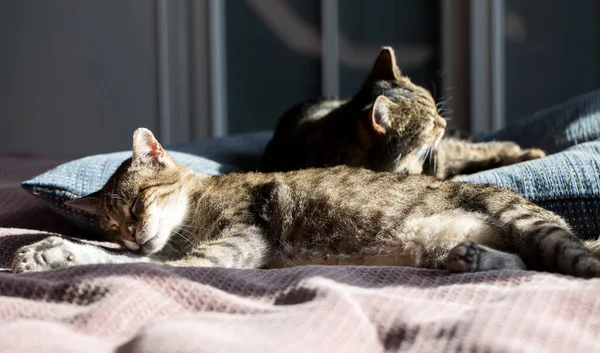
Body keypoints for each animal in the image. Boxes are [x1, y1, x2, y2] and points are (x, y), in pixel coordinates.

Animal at [10, 127, 600, 278]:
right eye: (111, 225)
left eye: (136, 206)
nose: (132, 235)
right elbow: (107, 257)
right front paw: (47, 251)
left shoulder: (239, 239)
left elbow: (165, 267)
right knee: (522, 263)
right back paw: (471, 258)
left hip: (531, 225)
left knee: (564, 263)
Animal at [260, 46, 548, 179]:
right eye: (430, 123)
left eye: (434, 104)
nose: (444, 122)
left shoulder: (444, 150)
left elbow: (482, 149)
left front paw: (524, 152)